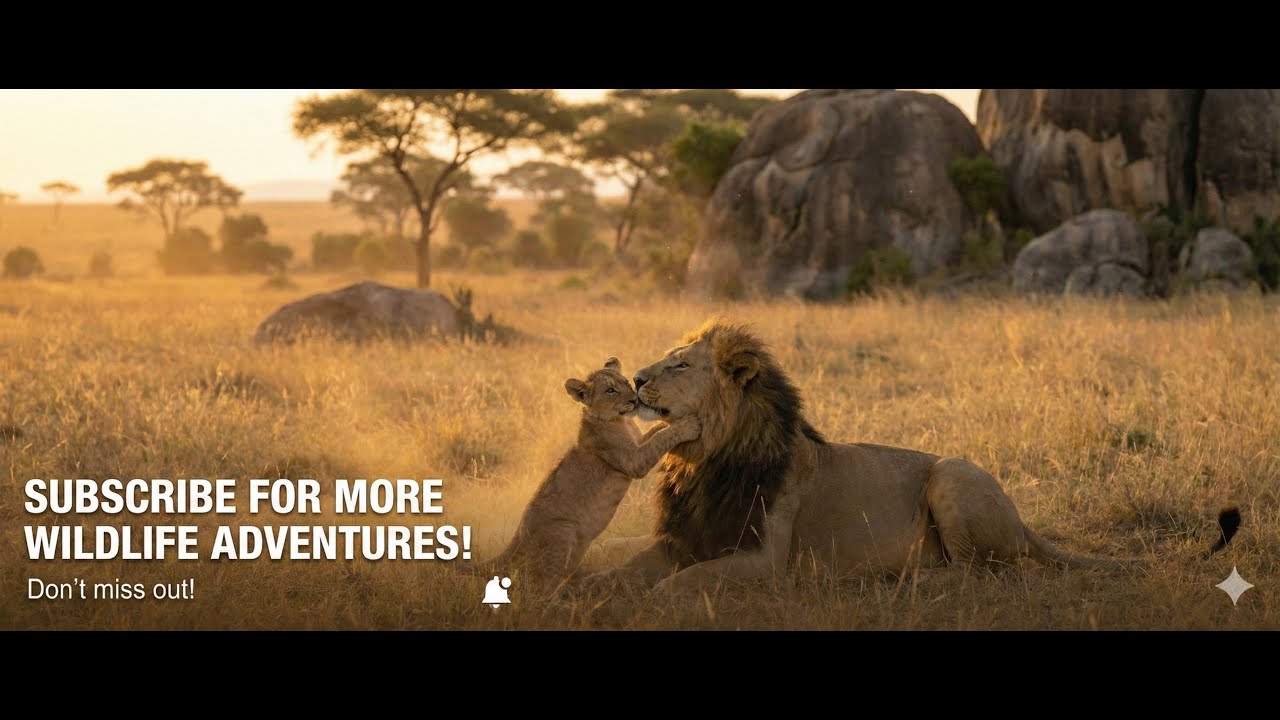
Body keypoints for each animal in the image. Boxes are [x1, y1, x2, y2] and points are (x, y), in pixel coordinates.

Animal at [474, 357, 700, 585]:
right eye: (610, 391)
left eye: (625, 382)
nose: (634, 400)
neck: (621, 420)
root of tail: (517, 537)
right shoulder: (633, 461)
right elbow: (661, 438)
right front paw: (689, 424)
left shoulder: (638, 441)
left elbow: (656, 431)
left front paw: (669, 420)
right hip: (563, 532)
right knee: (543, 584)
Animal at [589, 318, 1239, 595]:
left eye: (679, 365)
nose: (637, 379)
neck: (704, 461)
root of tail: (1022, 519)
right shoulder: (683, 536)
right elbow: (627, 569)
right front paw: (592, 588)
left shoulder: (764, 560)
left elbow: (679, 584)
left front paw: (650, 602)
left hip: (952, 473)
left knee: (982, 571)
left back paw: (912, 575)